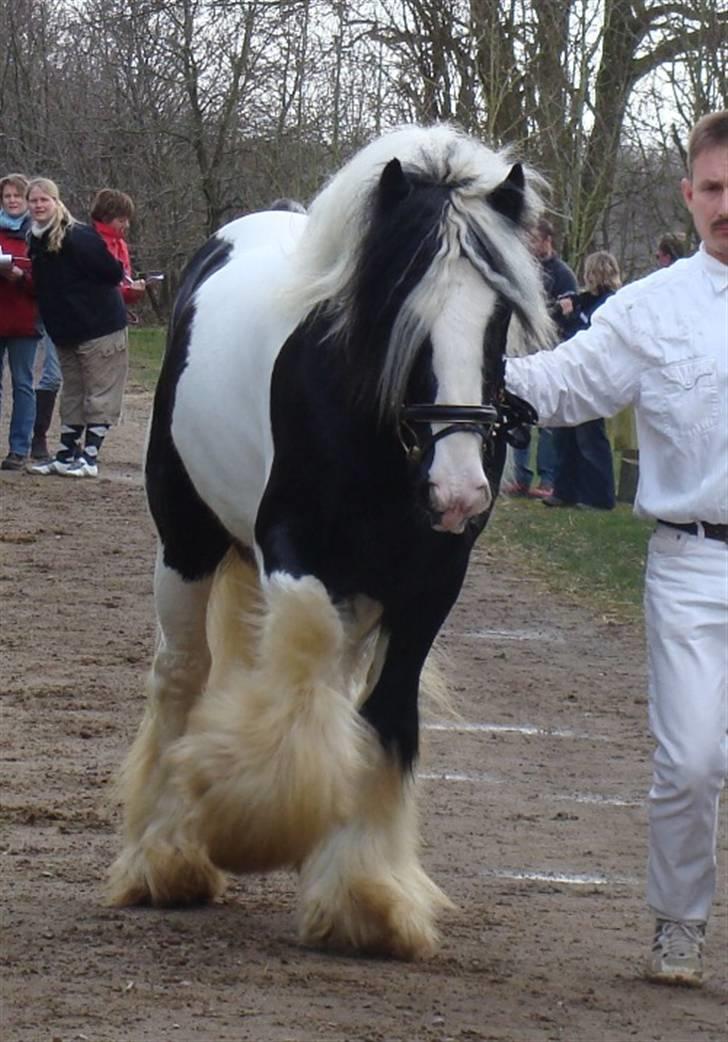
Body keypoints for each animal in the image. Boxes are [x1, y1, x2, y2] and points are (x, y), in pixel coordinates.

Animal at [108, 123, 549, 958]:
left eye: (498, 317)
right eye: (401, 304)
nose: (458, 491)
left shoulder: (431, 580)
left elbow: (384, 716)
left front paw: (364, 897)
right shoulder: (295, 549)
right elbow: (303, 659)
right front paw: (243, 822)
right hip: (186, 546)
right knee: (183, 676)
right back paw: (165, 857)